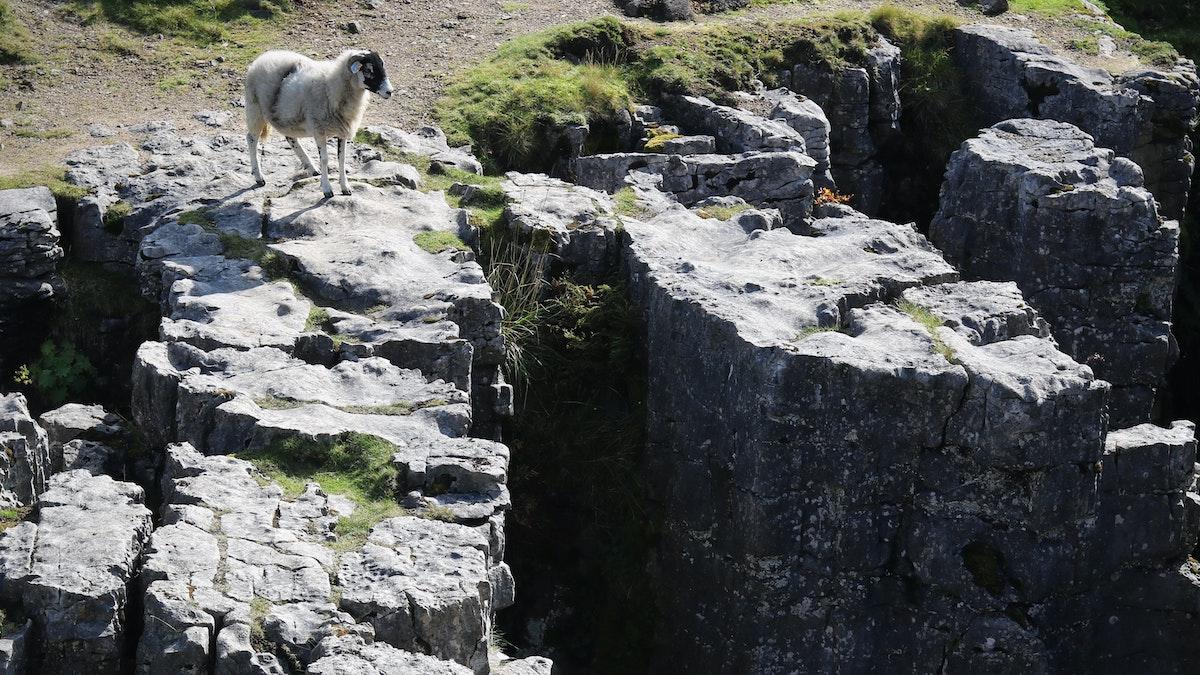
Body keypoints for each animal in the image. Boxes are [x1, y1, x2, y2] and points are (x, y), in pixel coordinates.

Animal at [243, 48, 393, 196]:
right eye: (368, 70)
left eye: (382, 66)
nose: (390, 92)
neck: (332, 87)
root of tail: (263, 57)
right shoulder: (319, 130)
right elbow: (325, 159)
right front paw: (327, 189)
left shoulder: (342, 130)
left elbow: (342, 158)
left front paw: (345, 187)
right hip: (255, 109)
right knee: (251, 139)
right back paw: (259, 177)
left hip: (286, 117)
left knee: (290, 138)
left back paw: (312, 168)